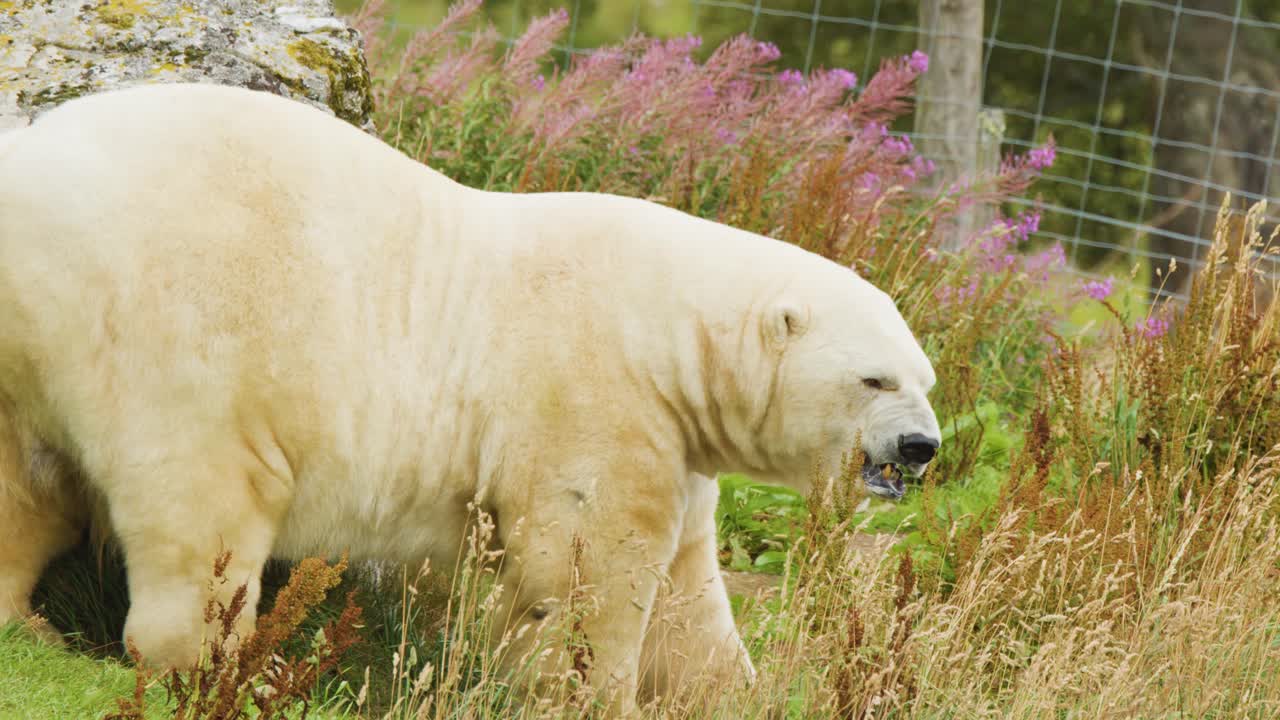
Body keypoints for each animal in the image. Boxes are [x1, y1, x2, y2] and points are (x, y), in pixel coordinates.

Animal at [0, 82, 941, 714]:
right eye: (876, 379)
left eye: (925, 379)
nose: (921, 448)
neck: (669, 326)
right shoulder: (592, 394)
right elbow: (582, 565)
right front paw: (593, 692)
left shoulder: (676, 444)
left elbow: (686, 592)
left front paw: (732, 692)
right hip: (185, 332)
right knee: (205, 502)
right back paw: (223, 663)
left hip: (25, 354)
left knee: (26, 487)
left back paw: (28, 626)